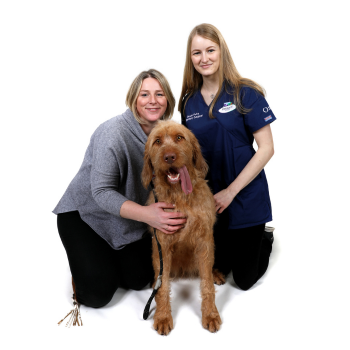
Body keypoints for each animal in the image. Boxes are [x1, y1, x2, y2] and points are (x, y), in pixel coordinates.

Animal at [142, 121, 221, 336]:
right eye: (157, 141)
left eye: (179, 138)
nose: (169, 157)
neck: (180, 197)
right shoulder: (162, 244)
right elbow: (162, 287)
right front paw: (162, 316)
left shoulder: (204, 242)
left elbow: (207, 284)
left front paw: (210, 314)